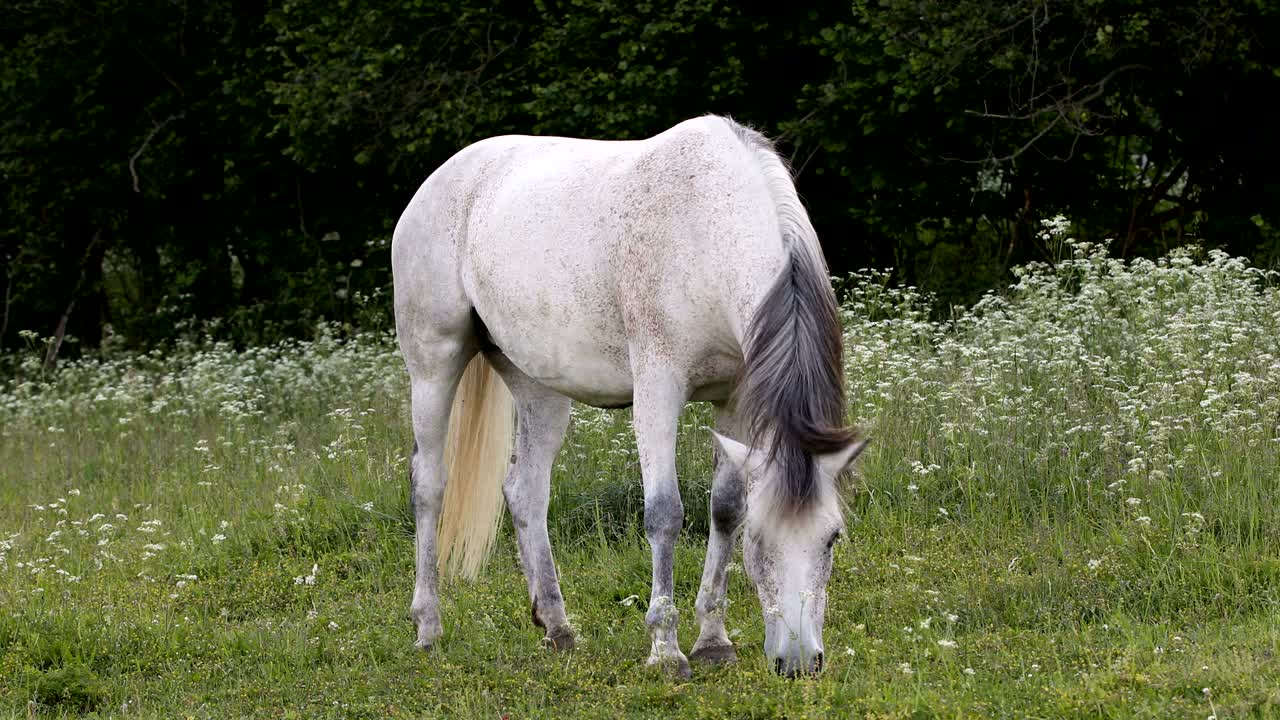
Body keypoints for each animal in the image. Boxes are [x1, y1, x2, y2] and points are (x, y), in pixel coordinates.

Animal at [391, 114, 867, 679]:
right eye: (761, 540)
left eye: (832, 537)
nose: (799, 662)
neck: (708, 227)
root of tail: (441, 179)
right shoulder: (658, 391)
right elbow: (664, 513)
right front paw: (665, 650)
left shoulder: (734, 399)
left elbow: (725, 508)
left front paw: (713, 640)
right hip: (433, 366)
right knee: (429, 485)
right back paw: (427, 627)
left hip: (538, 388)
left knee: (526, 490)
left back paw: (557, 627)